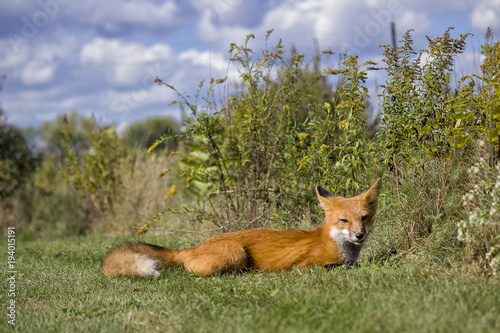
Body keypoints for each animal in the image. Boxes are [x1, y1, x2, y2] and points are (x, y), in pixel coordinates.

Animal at [103, 180, 380, 276]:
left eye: (364, 218)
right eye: (344, 221)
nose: (359, 235)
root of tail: (194, 247)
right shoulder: (305, 265)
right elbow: (339, 266)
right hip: (235, 253)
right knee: (194, 270)